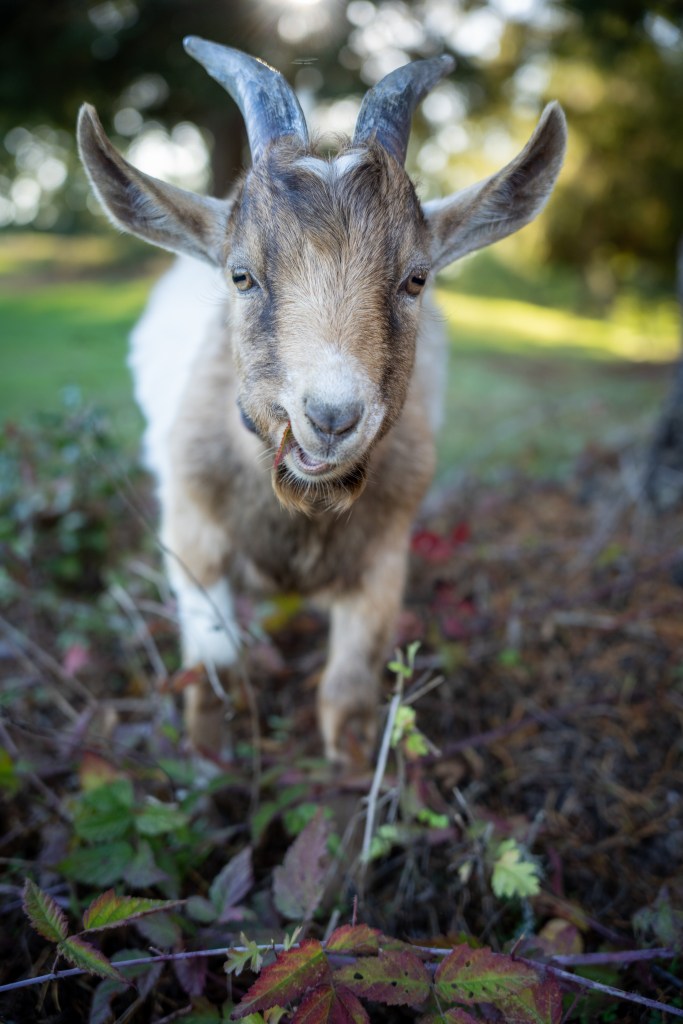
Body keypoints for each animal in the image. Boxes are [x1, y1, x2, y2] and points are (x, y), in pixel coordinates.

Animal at [77, 38, 566, 762]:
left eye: (416, 278)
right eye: (242, 275)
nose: (331, 417)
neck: (303, 510)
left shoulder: (384, 560)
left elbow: (348, 695)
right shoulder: (192, 540)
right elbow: (217, 671)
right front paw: (210, 764)